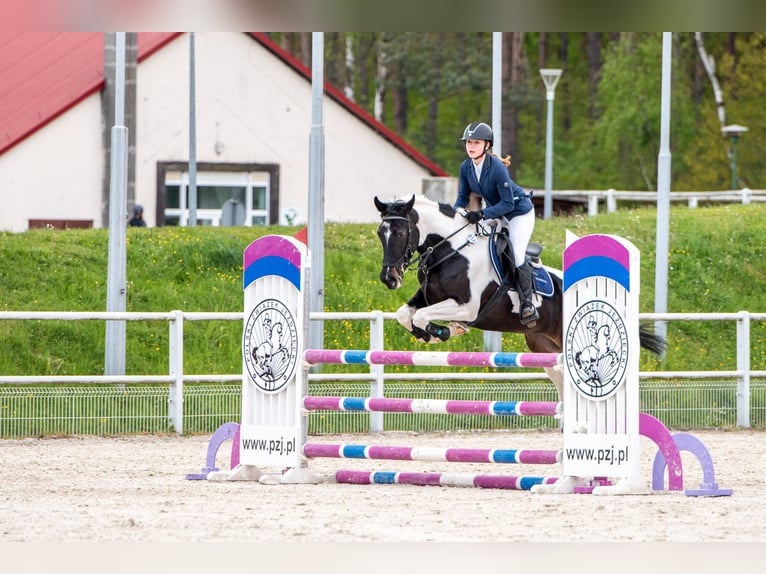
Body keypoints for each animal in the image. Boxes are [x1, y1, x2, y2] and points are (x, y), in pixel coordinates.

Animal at [374, 195, 664, 400]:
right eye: (380, 233)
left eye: (400, 233)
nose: (389, 278)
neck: (452, 250)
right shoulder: (428, 297)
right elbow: (406, 314)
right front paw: (431, 333)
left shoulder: (468, 308)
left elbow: (424, 316)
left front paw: (443, 332)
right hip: (544, 346)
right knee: (561, 378)